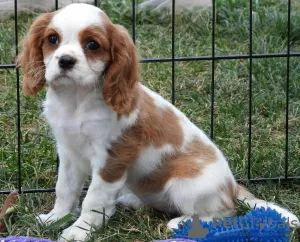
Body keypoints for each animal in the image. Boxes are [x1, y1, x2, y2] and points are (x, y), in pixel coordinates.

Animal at [17, 2, 300, 241]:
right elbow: (64, 189)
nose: (65, 61)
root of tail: (232, 186)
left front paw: (80, 230)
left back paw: (182, 222)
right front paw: (56, 218)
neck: (76, 100)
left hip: (186, 185)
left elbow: (94, 200)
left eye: (93, 45)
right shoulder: (68, 153)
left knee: (225, 212)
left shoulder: (112, 158)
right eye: (52, 39)